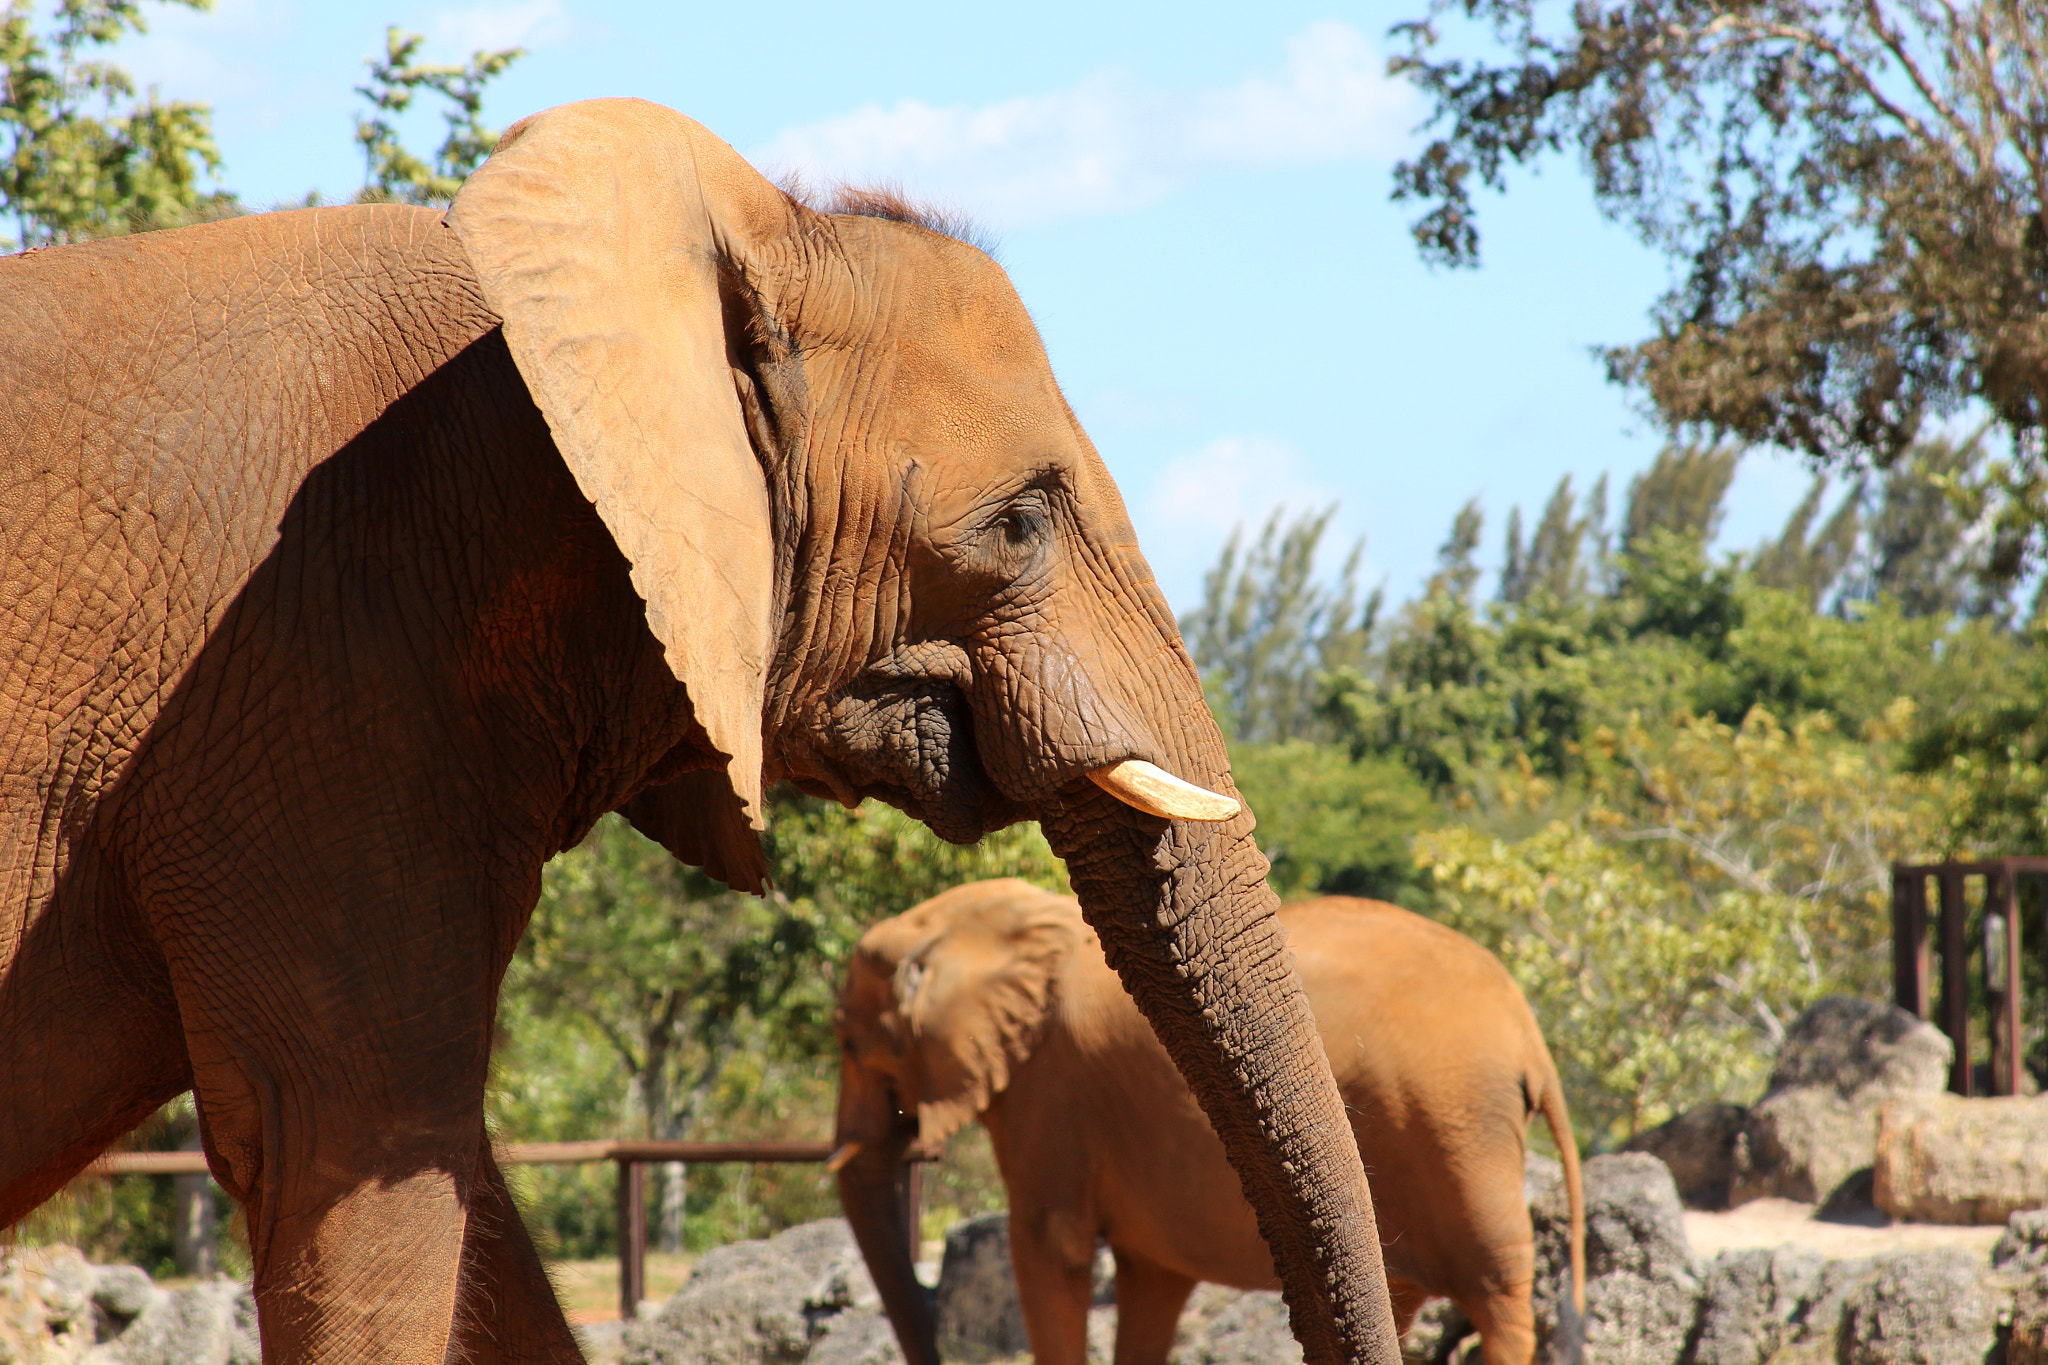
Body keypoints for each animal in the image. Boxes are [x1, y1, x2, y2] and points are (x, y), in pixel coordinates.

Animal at [833, 880, 1588, 1365]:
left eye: (848, 1043)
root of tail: (1529, 1037)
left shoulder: (1049, 1097)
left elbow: (1051, 1248)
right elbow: (1151, 1282)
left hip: (1458, 1125)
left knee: (1497, 1292)